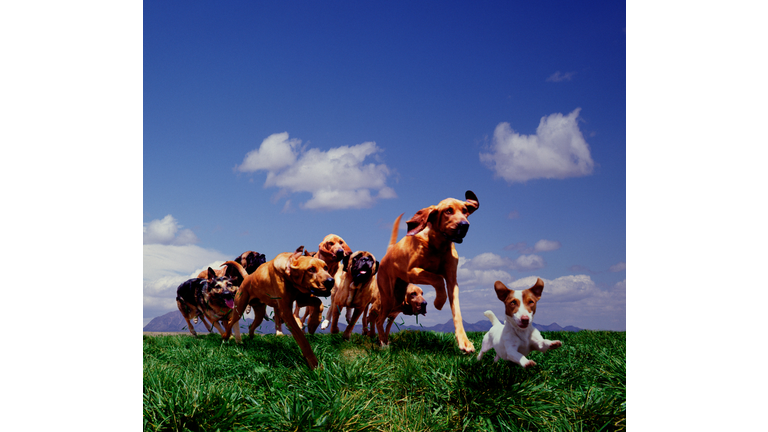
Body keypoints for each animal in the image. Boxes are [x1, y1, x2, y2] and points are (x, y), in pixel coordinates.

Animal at [376, 191, 476, 352]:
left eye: (465, 211)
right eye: (448, 211)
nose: (465, 225)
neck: (438, 245)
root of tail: (389, 251)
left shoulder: (452, 281)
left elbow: (457, 312)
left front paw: (464, 342)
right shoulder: (412, 272)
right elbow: (437, 279)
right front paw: (439, 302)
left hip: (397, 297)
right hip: (389, 297)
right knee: (379, 320)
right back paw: (383, 344)